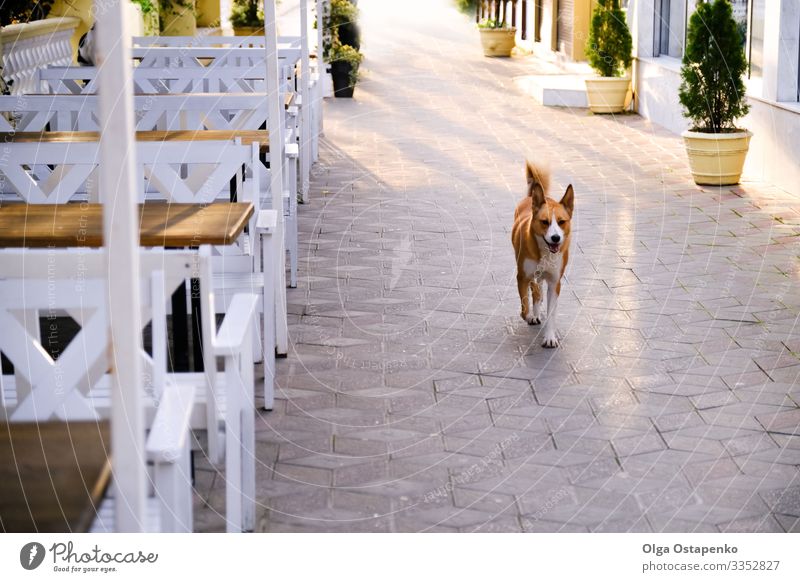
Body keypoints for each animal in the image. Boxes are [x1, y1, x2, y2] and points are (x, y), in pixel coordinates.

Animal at [512, 162, 576, 350]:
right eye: (544, 222)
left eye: (561, 222)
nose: (556, 238)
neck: (545, 252)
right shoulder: (522, 276)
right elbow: (525, 306)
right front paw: (530, 316)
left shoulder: (555, 282)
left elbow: (551, 313)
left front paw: (550, 337)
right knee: (535, 288)